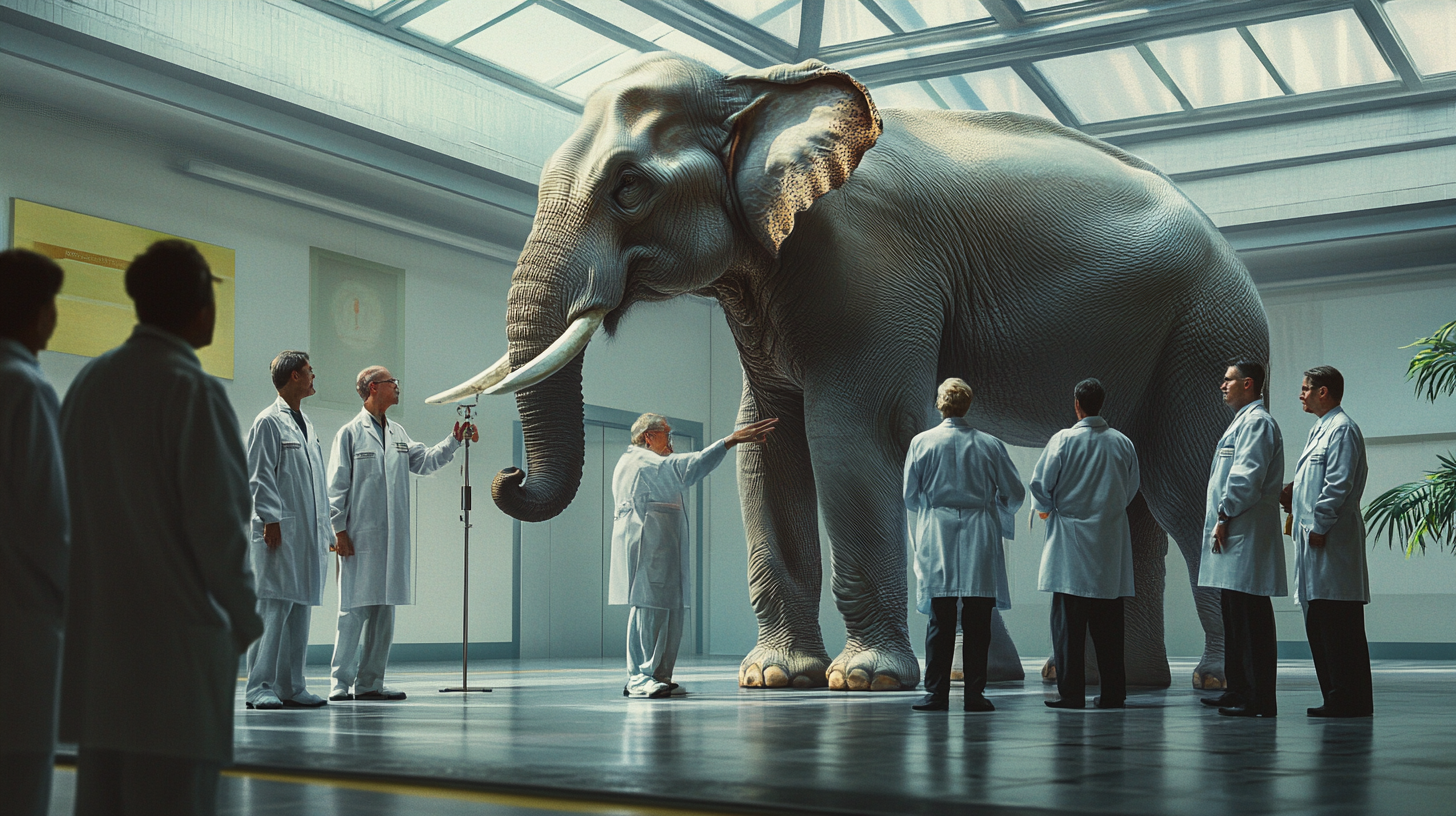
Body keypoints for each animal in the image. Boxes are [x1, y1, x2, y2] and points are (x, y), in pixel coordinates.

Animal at [428, 54, 1263, 690]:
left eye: (628, 186)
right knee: (1140, 503)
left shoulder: (871, 264)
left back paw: (1209, 682)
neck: (753, 86)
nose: (504, 476)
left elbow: (852, 436)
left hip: (1207, 332)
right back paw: (1112, 682)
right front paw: (772, 678)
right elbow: (770, 447)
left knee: (1183, 485)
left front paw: (864, 682)